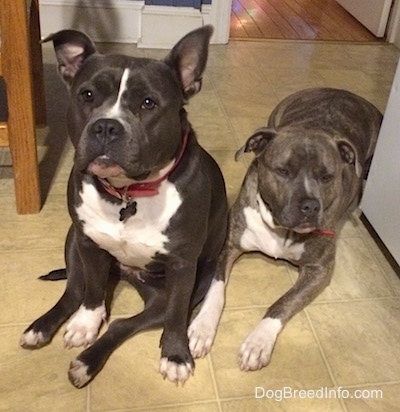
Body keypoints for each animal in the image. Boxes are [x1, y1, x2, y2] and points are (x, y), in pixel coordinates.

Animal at [188, 88, 382, 372]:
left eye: (327, 176)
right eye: (282, 171)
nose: (311, 205)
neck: (281, 229)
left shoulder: (319, 270)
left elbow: (282, 303)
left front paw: (258, 342)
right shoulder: (228, 244)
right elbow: (216, 289)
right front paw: (202, 328)